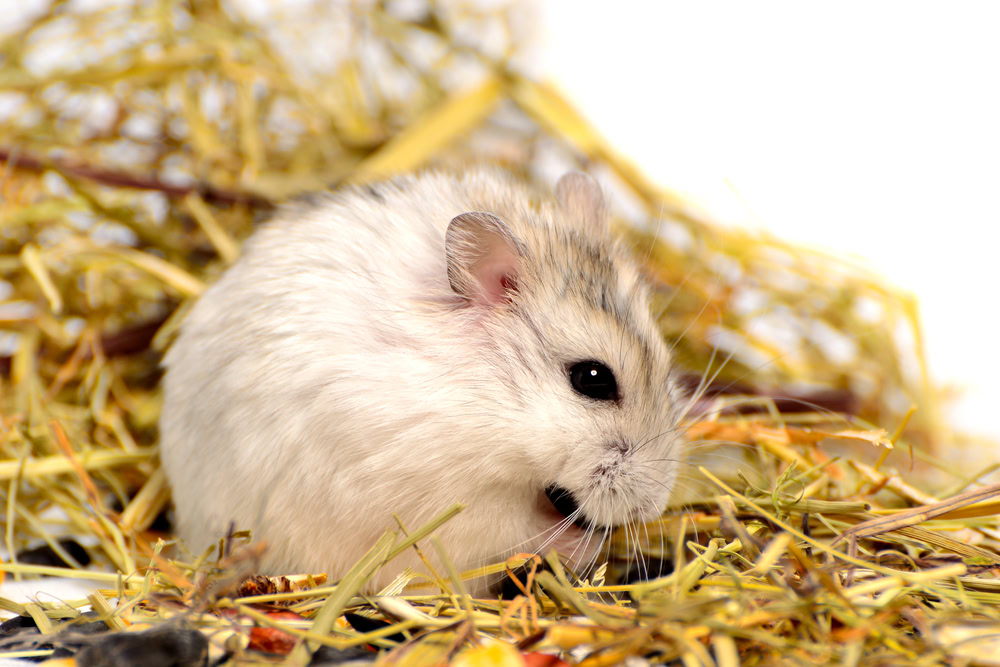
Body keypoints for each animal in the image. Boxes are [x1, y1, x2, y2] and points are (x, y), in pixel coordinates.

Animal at [159, 167, 684, 595]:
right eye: (592, 378)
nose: (652, 508)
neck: (487, 405)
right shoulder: (452, 508)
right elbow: (521, 531)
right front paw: (586, 544)